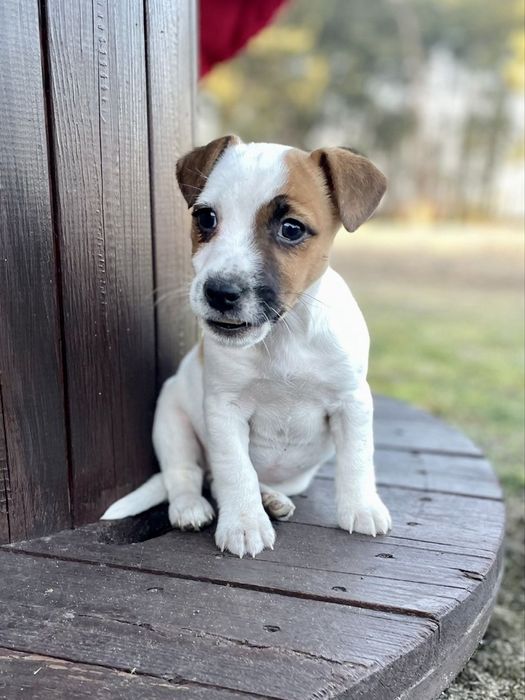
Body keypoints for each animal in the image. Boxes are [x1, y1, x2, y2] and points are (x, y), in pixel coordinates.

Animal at [102, 135, 392, 557]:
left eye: (291, 229)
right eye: (206, 218)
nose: (220, 292)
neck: (283, 337)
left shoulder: (352, 401)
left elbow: (357, 458)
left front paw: (362, 507)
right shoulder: (224, 410)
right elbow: (236, 470)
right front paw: (243, 523)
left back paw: (271, 498)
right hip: (171, 418)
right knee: (188, 473)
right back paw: (192, 506)